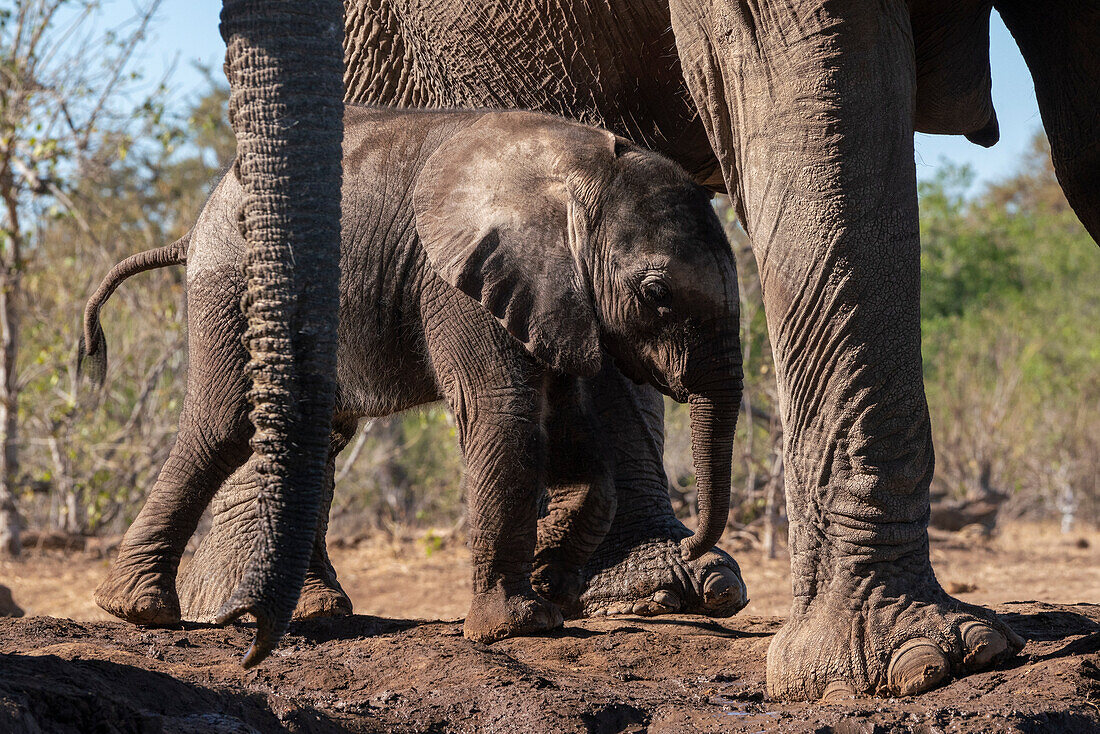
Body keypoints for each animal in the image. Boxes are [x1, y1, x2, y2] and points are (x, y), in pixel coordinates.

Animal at [81, 106, 743, 647]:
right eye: (656, 293)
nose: (692, 548)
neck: (580, 169)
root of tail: (194, 228)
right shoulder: (460, 281)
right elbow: (503, 410)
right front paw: (520, 624)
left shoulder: (553, 299)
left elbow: (573, 437)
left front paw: (550, 581)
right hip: (233, 286)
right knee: (226, 424)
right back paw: (140, 610)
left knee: (312, 437)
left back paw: (312, 612)